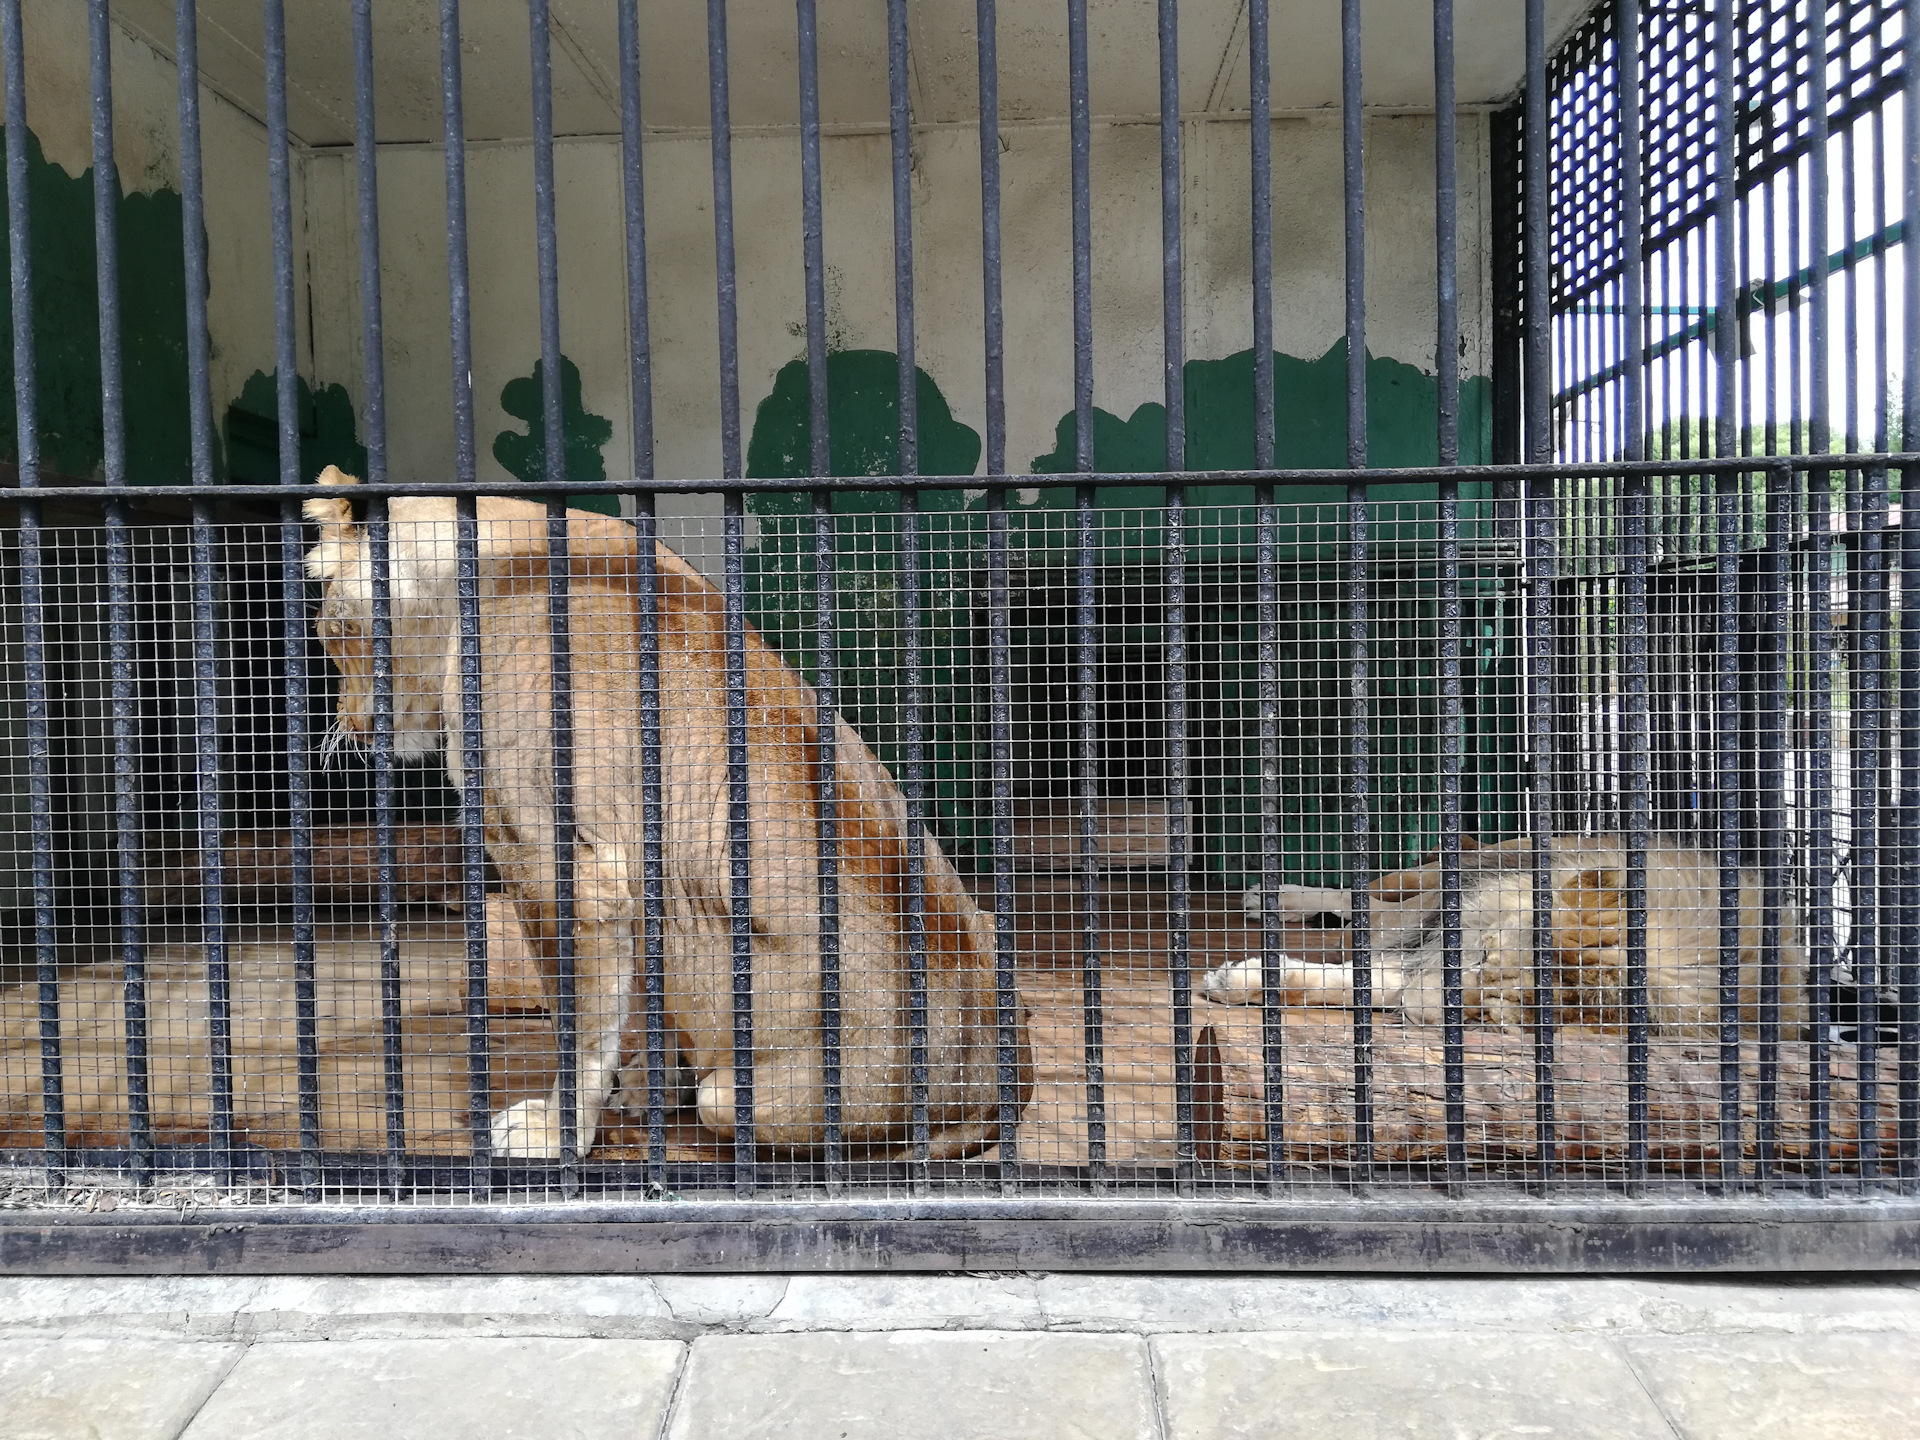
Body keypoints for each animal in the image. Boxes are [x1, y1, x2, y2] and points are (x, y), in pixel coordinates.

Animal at [299, 468, 1029, 1167]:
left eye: (332, 631)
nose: (353, 728)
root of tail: (1000, 1090)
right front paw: (639, 1087)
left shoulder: (556, 858)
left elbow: (576, 1018)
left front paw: (553, 1131)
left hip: (743, 1097)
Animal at [1205, 833, 1804, 1036]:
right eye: (1485, 953)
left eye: (1487, 1014)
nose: (1418, 1014)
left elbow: (1359, 983)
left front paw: (1245, 982)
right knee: (1375, 901)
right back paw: (1280, 899)